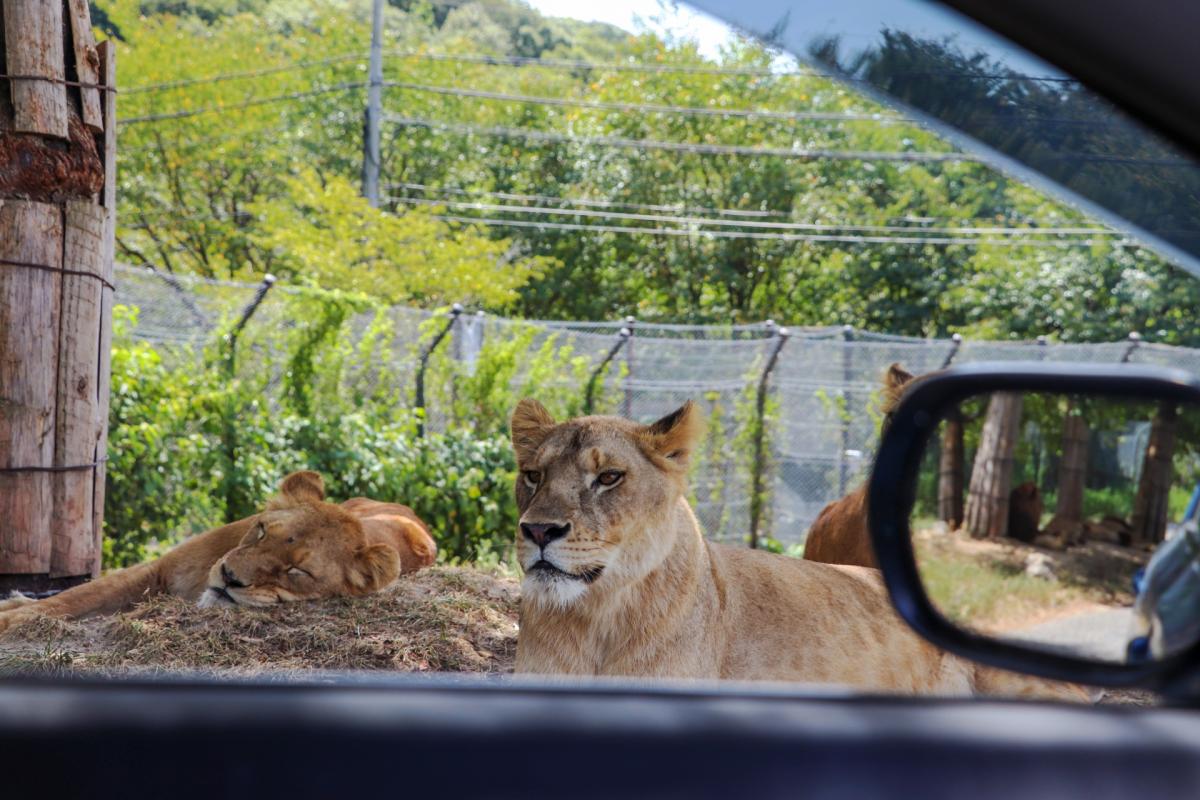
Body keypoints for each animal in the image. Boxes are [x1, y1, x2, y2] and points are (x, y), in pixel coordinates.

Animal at [0, 470, 436, 633]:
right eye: (261, 531)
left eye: (297, 572)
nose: (229, 577)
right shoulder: (156, 569)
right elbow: (71, 598)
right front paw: (13, 613)